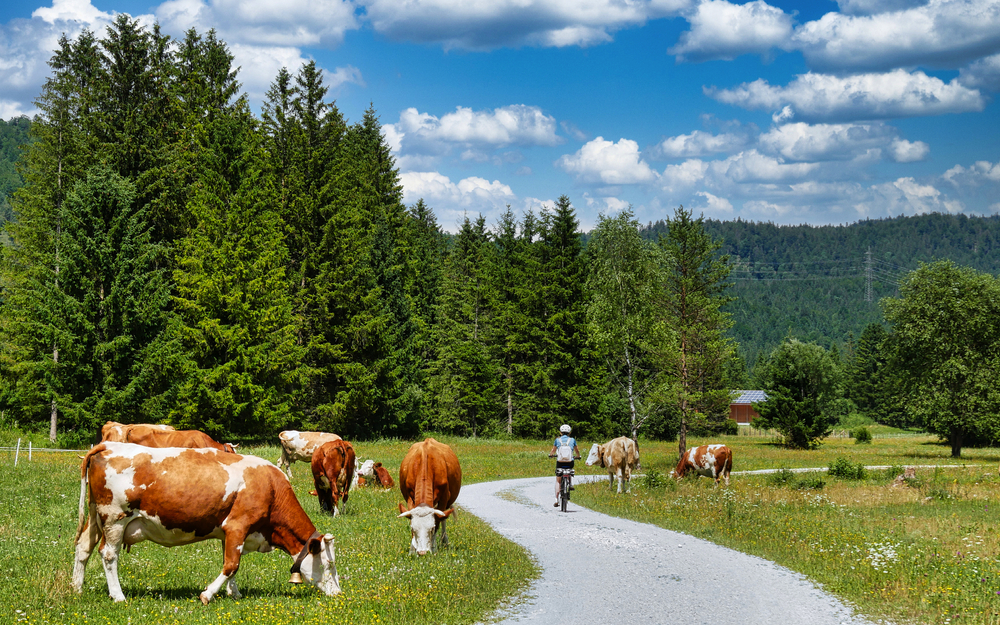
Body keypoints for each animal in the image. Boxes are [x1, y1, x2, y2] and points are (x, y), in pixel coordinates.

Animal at [72, 442, 341, 604]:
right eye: (329, 563)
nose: (339, 593)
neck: (271, 487)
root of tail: (109, 444)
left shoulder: (231, 534)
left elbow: (232, 563)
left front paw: (234, 592)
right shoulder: (238, 526)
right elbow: (231, 564)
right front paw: (208, 595)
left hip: (95, 517)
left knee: (83, 548)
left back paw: (77, 588)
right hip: (115, 519)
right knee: (108, 555)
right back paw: (118, 595)